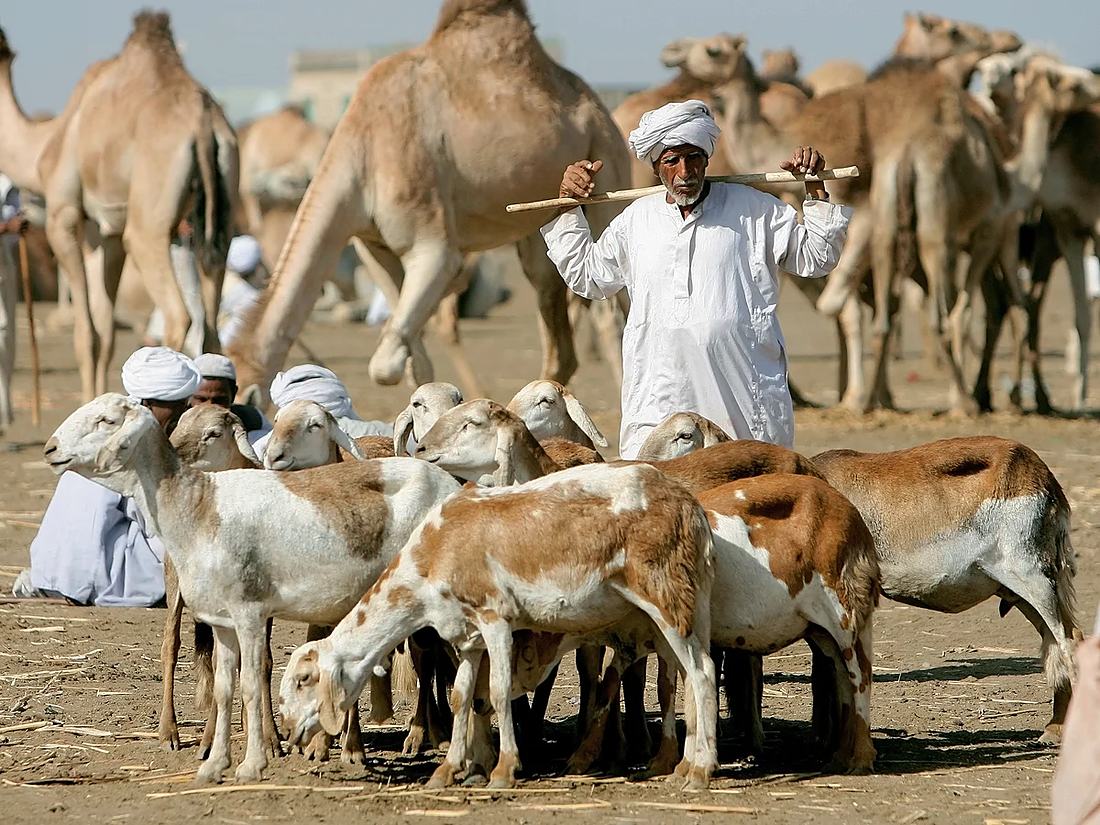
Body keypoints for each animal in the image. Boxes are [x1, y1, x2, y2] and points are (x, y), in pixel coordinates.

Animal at [45, 394, 462, 783]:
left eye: (106, 419)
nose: (49, 448)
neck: (197, 508)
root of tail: (451, 483)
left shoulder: (249, 613)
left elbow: (250, 684)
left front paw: (253, 764)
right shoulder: (222, 621)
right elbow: (223, 687)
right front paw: (214, 764)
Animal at [278, 462, 719, 789]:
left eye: (304, 679)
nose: (288, 731)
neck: (427, 564)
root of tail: (688, 505)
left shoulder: (495, 618)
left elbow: (499, 691)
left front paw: (504, 770)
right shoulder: (467, 636)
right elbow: (461, 696)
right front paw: (448, 770)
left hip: (665, 596)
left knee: (702, 673)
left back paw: (701, 772)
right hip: (687, 603)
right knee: (689, 674)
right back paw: (683, 765)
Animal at [812, 437, 1080, 744]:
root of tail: (1044, 480)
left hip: (1033, 581)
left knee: (1068, 639)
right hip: (1022, 593)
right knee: (1055, 643)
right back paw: (1054, 728)